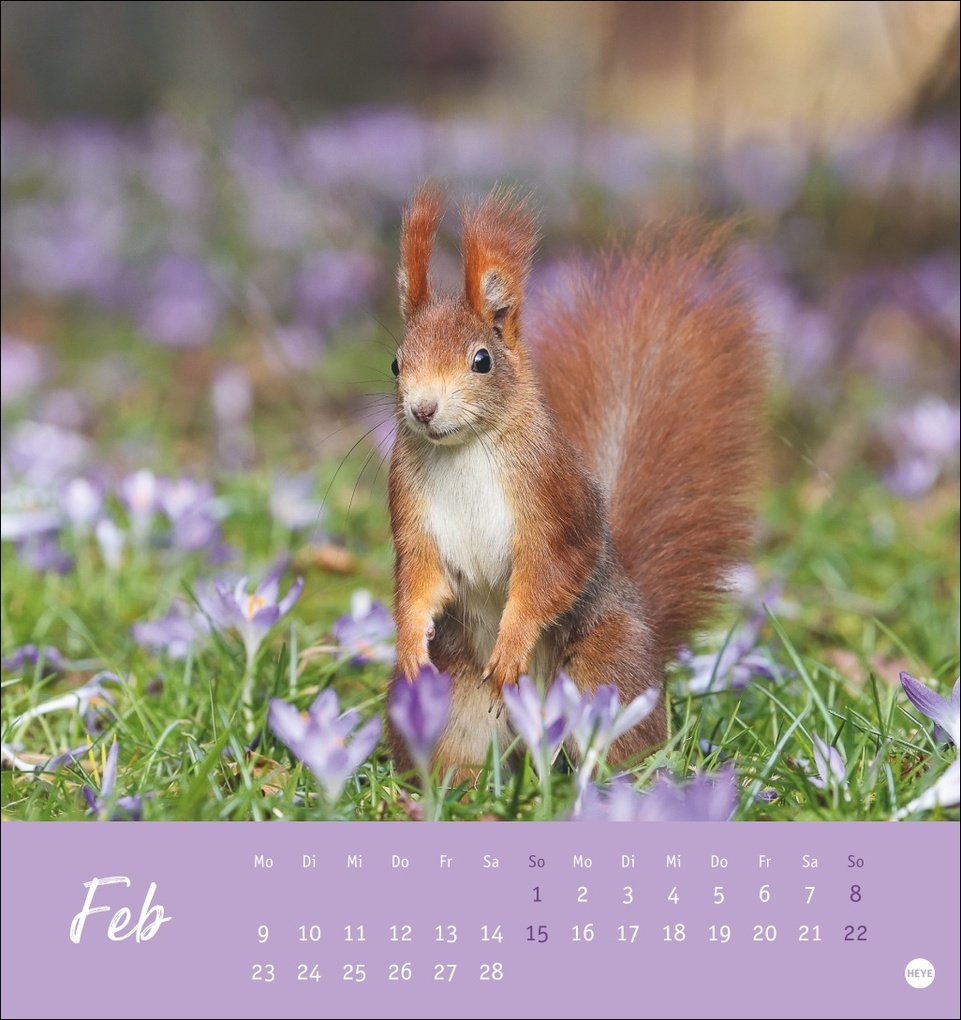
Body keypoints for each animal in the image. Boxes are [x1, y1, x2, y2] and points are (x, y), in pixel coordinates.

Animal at [386, 186, 765, 778]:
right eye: (396, 363)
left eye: (481, 361)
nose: (423, 410)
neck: (463, 450)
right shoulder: (411, 510)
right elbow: (419, 579)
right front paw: (407, 642)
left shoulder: (553, 496)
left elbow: (551, 571)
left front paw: (513, 641)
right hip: (454, 699)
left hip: (605, 672)